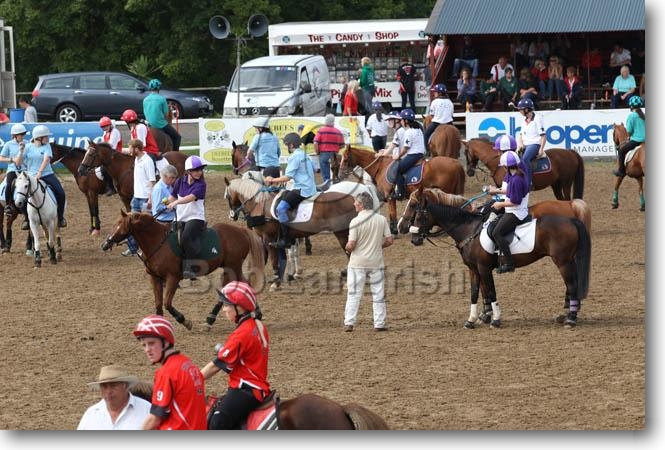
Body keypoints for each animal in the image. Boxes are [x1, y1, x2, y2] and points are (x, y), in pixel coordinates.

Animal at [100, 211, 265, 330]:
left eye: (119, 225)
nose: (105, 244)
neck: (158, 242)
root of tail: (241, 230)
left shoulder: (173, 278)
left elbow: (167, 303)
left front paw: (185, 321)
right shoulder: (154, 277)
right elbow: (158, 305)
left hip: (232, 267)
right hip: (230, 267)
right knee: (239, 286)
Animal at [402, 188, 591, 328]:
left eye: (416, 210)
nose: (413, 238)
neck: (469, 229)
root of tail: (570, 219)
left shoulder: (484, 268)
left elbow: (490, 291)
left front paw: (494, 319)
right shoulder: (473, 269)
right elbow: (475, 292)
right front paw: (472, 320)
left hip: (562, 262)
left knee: (572, 285)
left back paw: (570, 318)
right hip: (568, 261)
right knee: (572, 285)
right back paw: (567, 314)